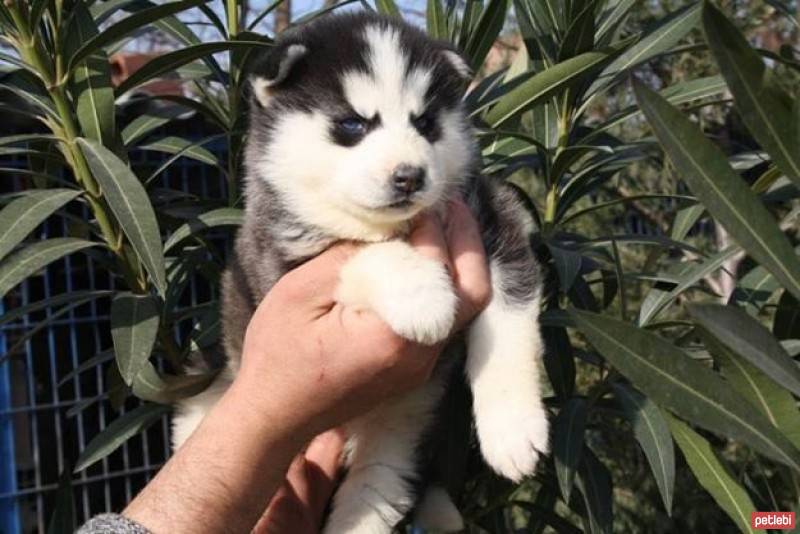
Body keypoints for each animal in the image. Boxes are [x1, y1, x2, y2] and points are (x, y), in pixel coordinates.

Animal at [173, 12, 552, 534]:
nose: (410, 175)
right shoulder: (282, 260)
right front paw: (425, 296)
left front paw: (513, 430)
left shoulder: (495, 219)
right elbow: (363, 253)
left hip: (398, 434)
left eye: (426, 123)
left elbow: (507, 327)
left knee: (379, 485)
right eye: (353, 124)